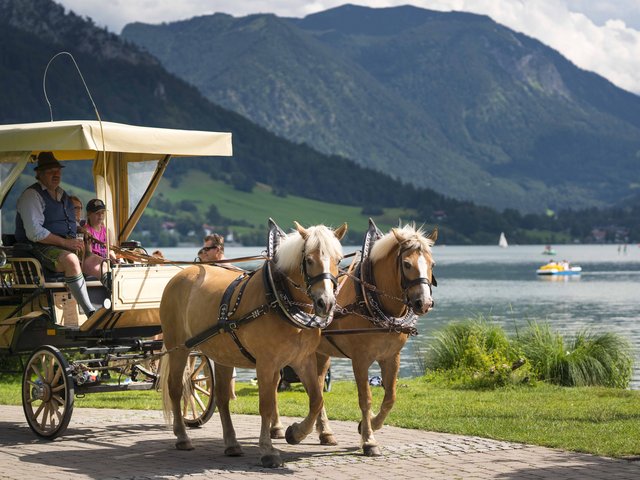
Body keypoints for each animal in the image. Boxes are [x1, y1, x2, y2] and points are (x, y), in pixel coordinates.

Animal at [162, 220, 348, 464]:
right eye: (309, 259)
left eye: (338, 260)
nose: (325, 303)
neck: (278, 300)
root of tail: (182, 274)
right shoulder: (266, 364)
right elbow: (267, 405)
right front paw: (268, 450)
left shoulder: (303, 359)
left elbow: (316, 400)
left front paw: (296, 433)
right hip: (178, 349)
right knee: (176, 388)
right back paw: (182, 436)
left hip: (223, 354)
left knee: (222, 397)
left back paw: (232, 443)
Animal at [278, 219, 438, 456]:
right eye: (407, 264)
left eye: (432, 264)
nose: (424, 303)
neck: (371, 300)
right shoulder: (360, 359)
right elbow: (366, 398)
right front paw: (369, 440)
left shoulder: (392, 357)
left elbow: (390, 397)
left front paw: (368, 425)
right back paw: (279, 428)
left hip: (320, 353)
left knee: (317, 388)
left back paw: (324, 432)